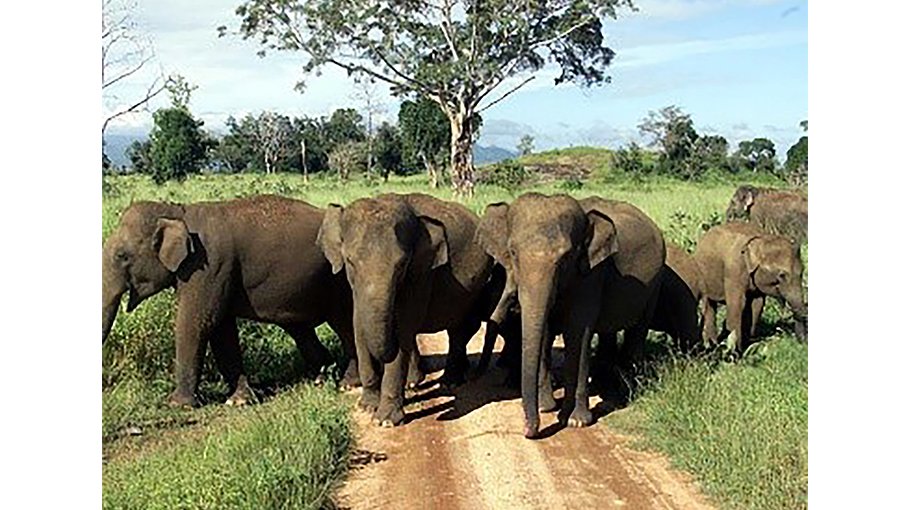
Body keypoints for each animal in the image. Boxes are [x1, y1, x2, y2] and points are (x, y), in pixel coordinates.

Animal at [102, 195, 358, 407]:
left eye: (122, 256)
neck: (178, 212)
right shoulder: (214, 274)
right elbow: (221, 329)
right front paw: (240, 400)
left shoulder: (208, 266)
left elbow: (197, 323)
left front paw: (178, 404)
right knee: (300, 328)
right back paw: (321, 377)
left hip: (339, 282)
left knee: (344, 323)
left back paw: (349, 384)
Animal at [316, 193, 494, 427]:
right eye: (350, 262)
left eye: (401, 265)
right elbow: (358, 326)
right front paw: (367, 406)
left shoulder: (420, 273)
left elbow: (403, 328)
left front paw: (386, 421)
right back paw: (415, 382)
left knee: (458, 329)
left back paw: (450, 382)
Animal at [477, 193, 665, 438]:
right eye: (513, 252)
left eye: (566, 257)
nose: (529, 430)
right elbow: (545, 331)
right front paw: (547, 408)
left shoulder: (591, 274)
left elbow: (579, 333)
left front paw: (576, 421)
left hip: (655, 283)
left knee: (638, 331)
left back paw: (626, 391)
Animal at [694, 221, 808, 353]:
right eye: (782, 275)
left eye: (802, 272)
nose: (802, 343)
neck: (762, 239)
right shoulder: (734, 270)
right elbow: (737, 304)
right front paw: (735, 352)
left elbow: (757, 304)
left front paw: (748, 344)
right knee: (709, 305)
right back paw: (712, 345)